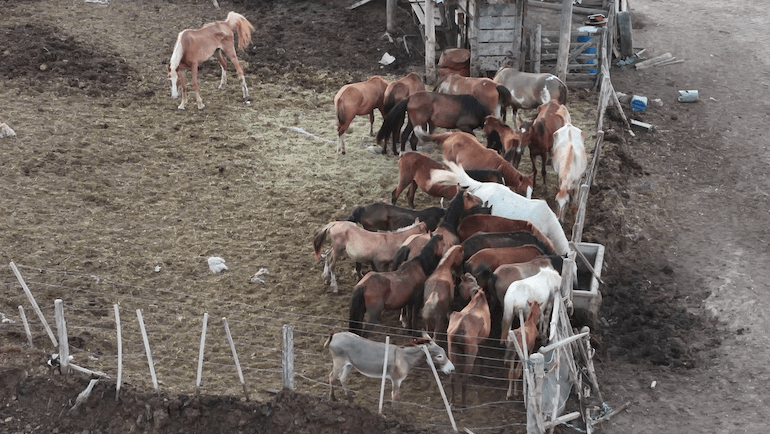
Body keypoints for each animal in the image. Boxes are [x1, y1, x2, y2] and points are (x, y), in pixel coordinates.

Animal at [325, 331, 453, 410]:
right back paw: (333, 398)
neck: (404, 358)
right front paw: (394, 412)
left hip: (349, 365)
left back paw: (351, 400)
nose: (452, 369)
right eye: (439, 356)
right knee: (332, 377)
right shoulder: (396, 379)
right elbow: (395, 396)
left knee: (342, 378)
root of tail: (335, 335)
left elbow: (395, 395)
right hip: (339, 362)